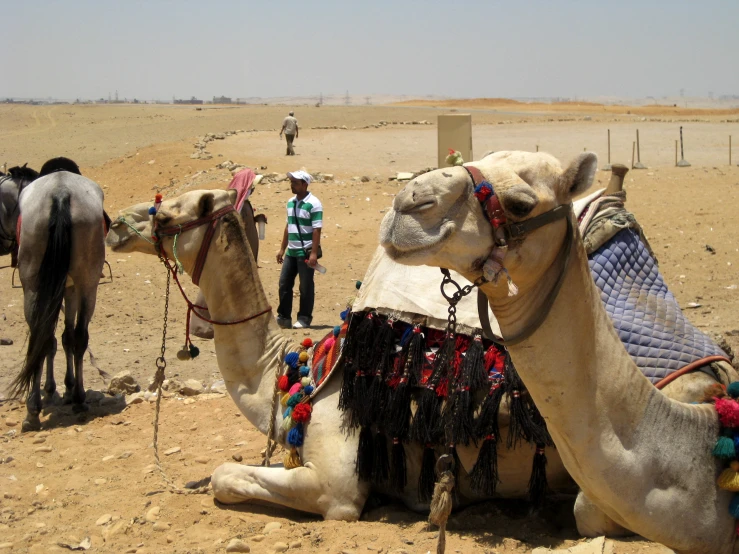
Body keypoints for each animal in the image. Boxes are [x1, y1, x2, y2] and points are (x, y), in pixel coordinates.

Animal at [7, 157, 106, 430]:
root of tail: (60, 192)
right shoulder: (69, 288)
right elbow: (65, 337)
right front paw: (67, 388)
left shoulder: (63, 288)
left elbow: (58, 338)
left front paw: (56, 389)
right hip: (86, 284)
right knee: (75, 336)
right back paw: (78, 399)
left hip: (35, 285)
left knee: (41, 337)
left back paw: (34, 410)